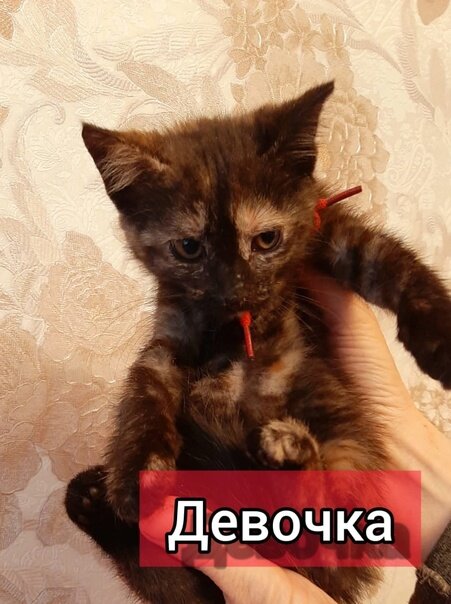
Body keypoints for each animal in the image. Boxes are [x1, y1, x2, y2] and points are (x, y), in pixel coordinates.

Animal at [65, 81, 451, 604]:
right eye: (189, 248)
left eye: (266, 239)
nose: (236, 290)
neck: (238, 330)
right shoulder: (175, 330)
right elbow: (147, 376)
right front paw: (138, 465)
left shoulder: (326, 225)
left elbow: (388, 261)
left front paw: (439, 337)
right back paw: (92, 502)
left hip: (345, 442)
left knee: (322, 526)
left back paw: (288, 453)